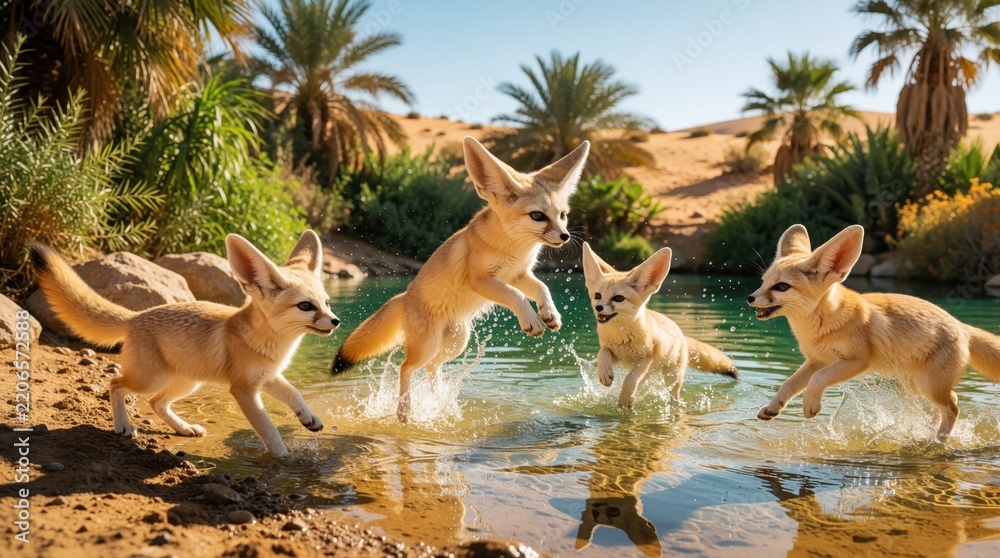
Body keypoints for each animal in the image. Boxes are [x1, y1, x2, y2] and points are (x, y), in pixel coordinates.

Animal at [28, 231, 340, 456]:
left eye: (326, 302)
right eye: (305, 306)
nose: (336, 321)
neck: (270, 344)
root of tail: (136, 316)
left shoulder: (269, 377)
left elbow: (295, 395)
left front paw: (309, 418)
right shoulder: (244, 390)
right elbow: (268, 428)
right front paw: (283, 457)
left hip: (186, 382)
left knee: (155, 403)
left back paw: (184, 428)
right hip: (151, 379)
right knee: (115, 384)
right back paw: (124, 426)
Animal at [331, 136, 590, 422]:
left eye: (563, 215)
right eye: (537, 216)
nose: (565, 236)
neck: (512, 248)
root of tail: (406, 295)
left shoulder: (518, 274)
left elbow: (542, 288)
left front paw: (549, 313)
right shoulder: (483, 280)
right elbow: (517, 295)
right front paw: (531, 319)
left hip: (456, 342)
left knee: (432, 367)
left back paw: (439, 403)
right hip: (428, 346)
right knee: (406, 367)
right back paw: (405, 412)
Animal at [581, 243, 739, 408]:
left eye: (618, 298)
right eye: (597, 296)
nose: (598, 308)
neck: (622, 336)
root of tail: (682, 334)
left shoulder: (646, 359)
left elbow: (630, 379)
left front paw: (625, 399)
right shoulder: (615, 354)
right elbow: (602, 353)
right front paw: (604, 373)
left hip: (672, 377)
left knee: (672, 395)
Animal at [749, 223, 1000, 441]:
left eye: (782, 287)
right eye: (763, 281)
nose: (750, 298)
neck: (821, 323)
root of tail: (961, 325)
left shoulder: (856, 361)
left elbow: (817, 379)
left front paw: (811, 405)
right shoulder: (817, 360)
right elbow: (789, 384)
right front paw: (772, 407)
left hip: (929, 385)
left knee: (953, 408)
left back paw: (938, 440)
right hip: (919, 386)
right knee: (952, 400)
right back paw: (930, 430)